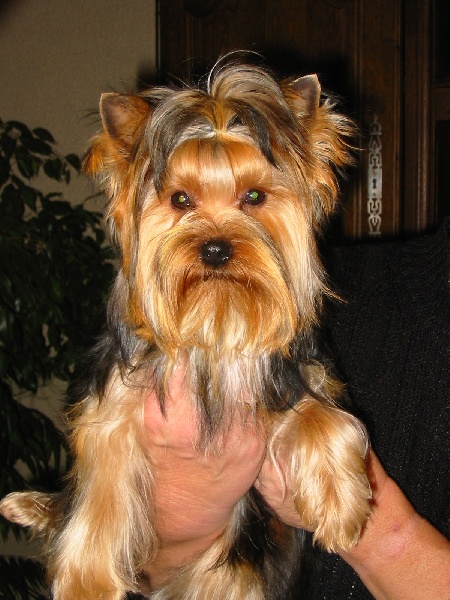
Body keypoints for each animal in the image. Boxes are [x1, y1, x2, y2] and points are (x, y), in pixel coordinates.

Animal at [0, 56, 371, 599]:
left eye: (254, 196)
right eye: (179, 199)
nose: (215, 249)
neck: (214, 326)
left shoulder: (284, 377)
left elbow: (326, 417)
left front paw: (342, 504)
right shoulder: (113, 407)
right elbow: (101, 489)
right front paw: (88, 586)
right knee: (70, 502)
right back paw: (31, 504)